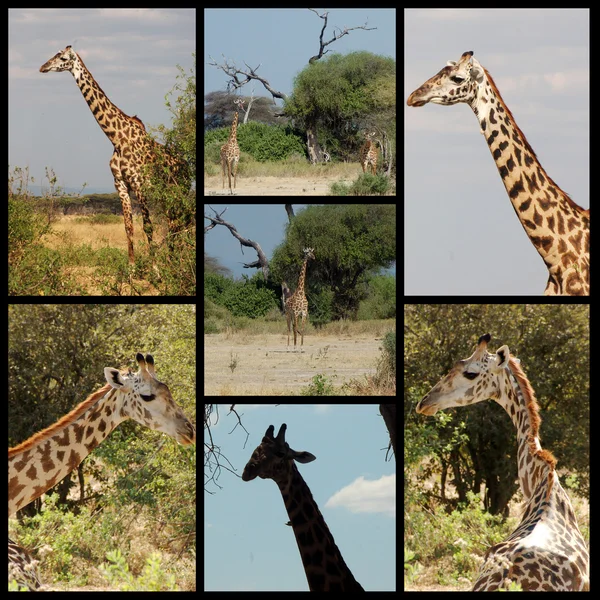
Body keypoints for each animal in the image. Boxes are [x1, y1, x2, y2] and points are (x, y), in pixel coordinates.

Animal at [40, 45, 185, 264]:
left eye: (63, 58)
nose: (43, 67)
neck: (116, 138)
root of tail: (183, 164)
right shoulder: (121, 185)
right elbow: (128, 228)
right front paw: (132, 267)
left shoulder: (139, 184)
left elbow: (148, 226)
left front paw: (155, 268)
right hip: (164, 193)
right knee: (173, 221)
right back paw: (173, 258)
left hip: (175, 189)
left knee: (177, 221)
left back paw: (175, 260)